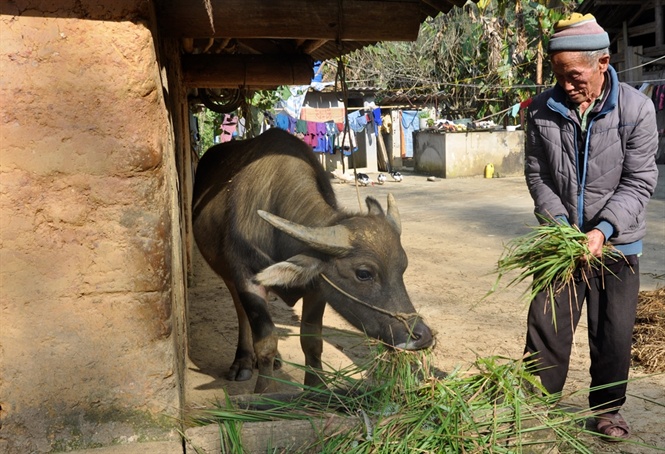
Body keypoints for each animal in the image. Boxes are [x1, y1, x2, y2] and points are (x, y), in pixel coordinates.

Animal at [189, 127, 434, 394]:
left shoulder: (318, 287)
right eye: (364, 273)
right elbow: (266, 340)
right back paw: (242, 362)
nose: (421, 335)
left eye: (403, 267)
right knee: (241, 312)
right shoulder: (245, 276)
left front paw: (317, 389)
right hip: (226, 275)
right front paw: (263, 393)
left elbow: (312, 341)